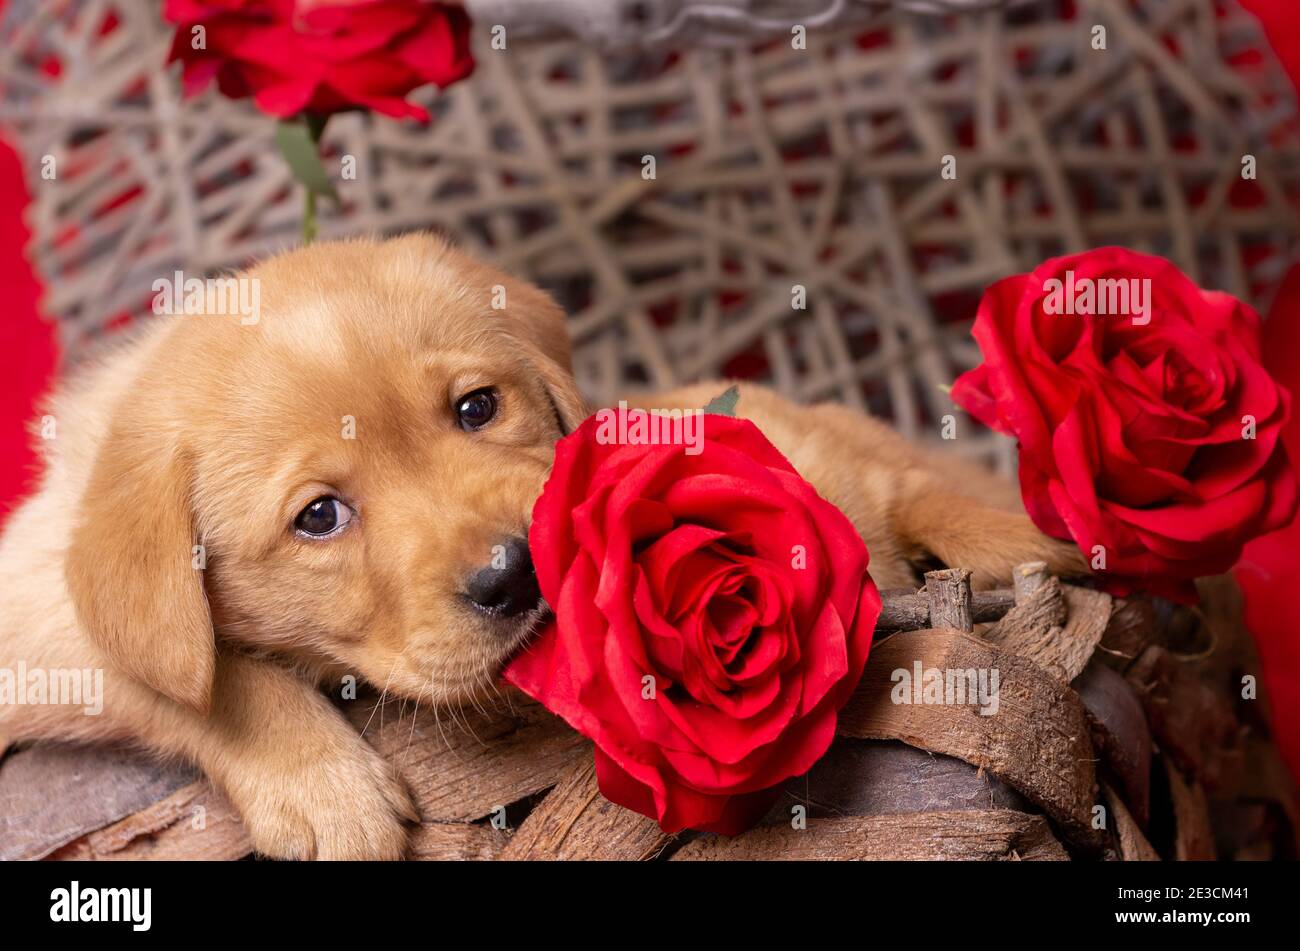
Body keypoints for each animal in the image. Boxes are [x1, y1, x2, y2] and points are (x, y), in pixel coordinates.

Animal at [0, 232, 1081, 862]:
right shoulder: (39, 620)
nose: (513, 573)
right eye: (318, 517)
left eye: (478, 408)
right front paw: (324, 791)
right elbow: (196, 673)